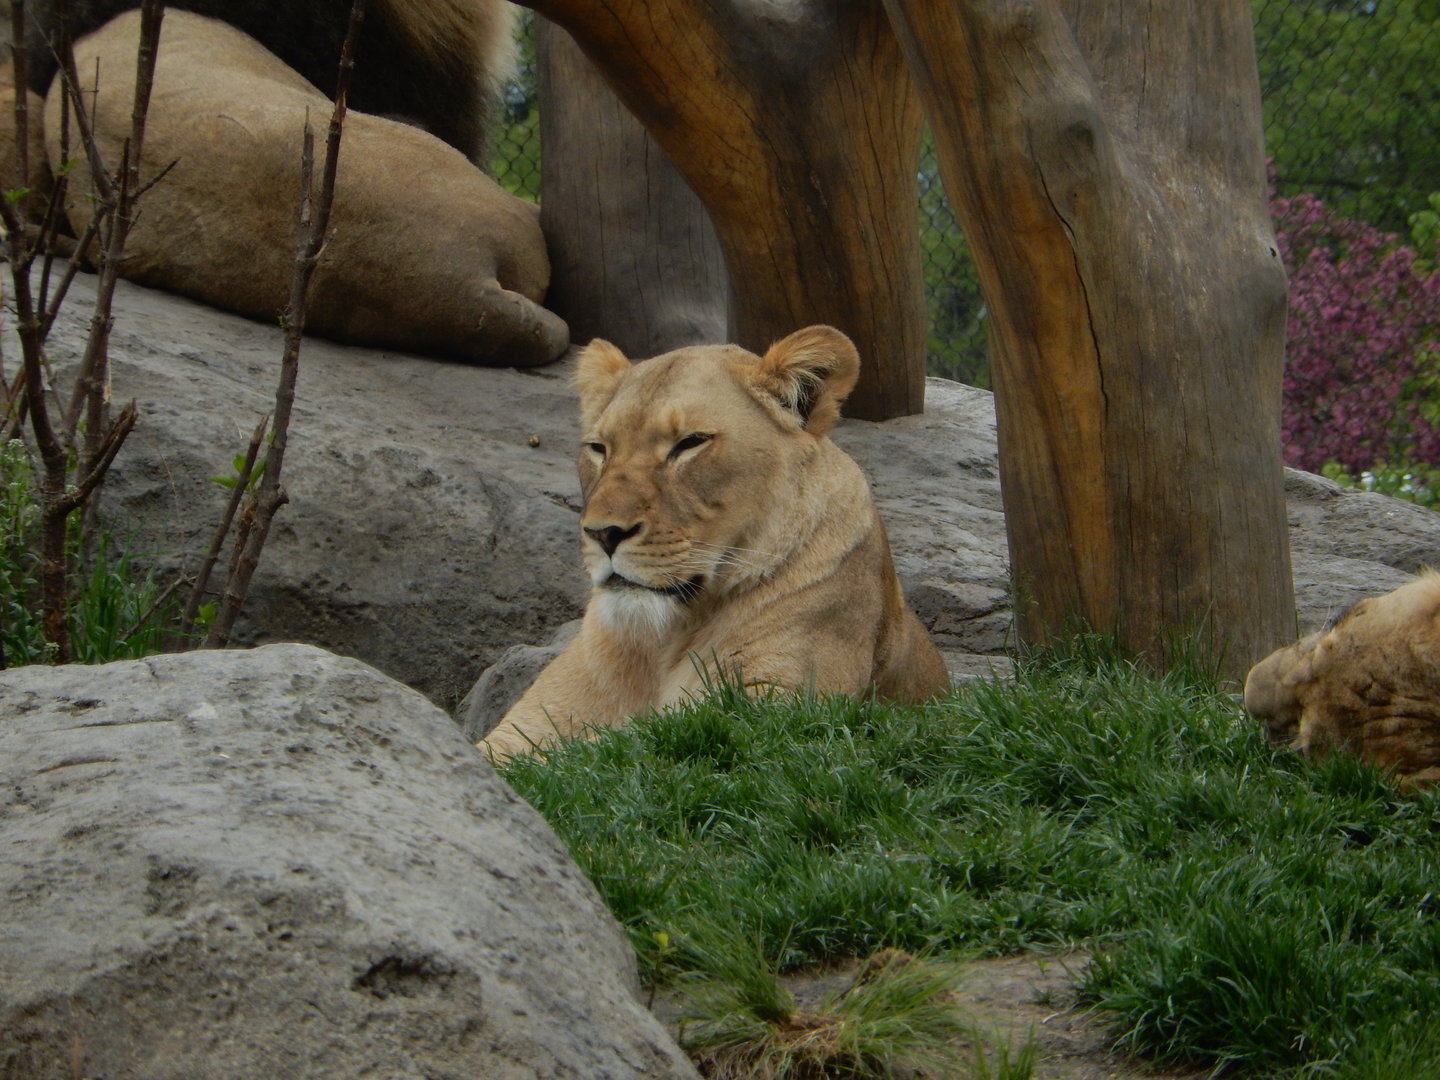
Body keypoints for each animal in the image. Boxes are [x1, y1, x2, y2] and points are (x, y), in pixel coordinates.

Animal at [478, 325, 951, 759]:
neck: (659, 644)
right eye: (598, 448)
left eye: (689, 443)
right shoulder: (526, 729)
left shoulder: (785, 711)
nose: (602, 533)